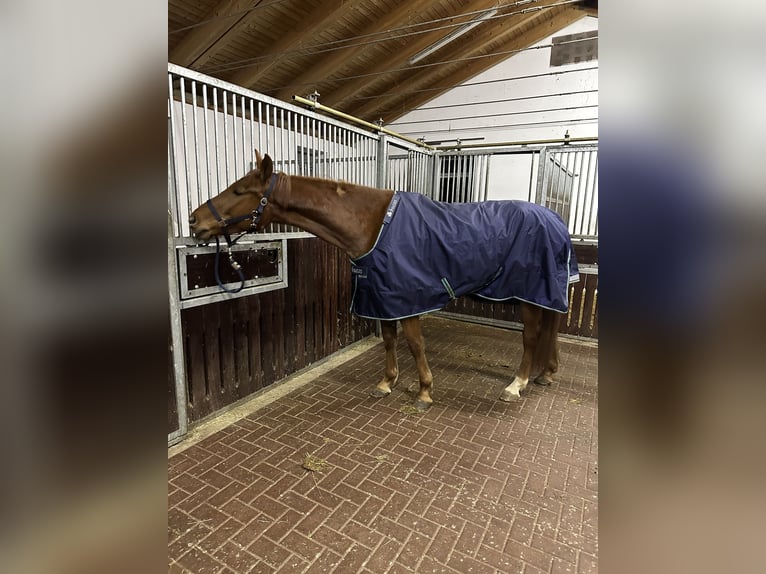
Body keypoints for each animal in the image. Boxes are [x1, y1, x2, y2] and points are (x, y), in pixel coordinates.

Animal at [189, 151, 579, 411]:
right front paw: (387, 383)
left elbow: (415, 344)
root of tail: (555, 219)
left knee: (531, 337)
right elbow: (389, 341)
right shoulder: (381, 297)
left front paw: (424, 391)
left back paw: (516, 385)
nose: (194, 221)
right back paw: (546, 374)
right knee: (551, 329)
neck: (373, 224)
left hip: (530, 294)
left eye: (239, 191)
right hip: (544, 294)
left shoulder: (407, 298)